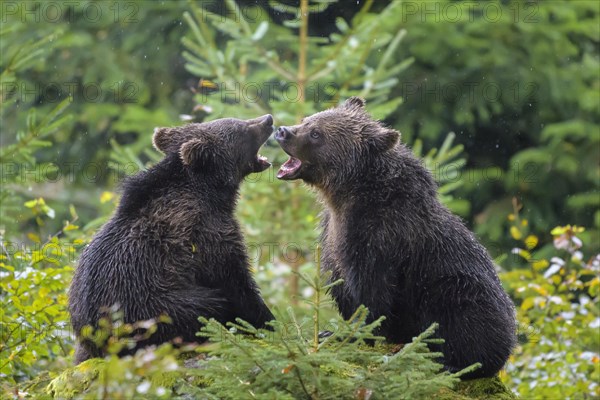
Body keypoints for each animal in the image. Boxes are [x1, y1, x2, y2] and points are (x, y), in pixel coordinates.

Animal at [69, 114, 274, 364]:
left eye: (237, 120)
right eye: (240, 129)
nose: (268, 120)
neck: (211, 193)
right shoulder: (206, 233)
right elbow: (235, 281)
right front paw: (268, 323)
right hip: (155, 308)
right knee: (210, 306)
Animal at [276, 97, 516, 378]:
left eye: (316, 133)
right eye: (307, 120)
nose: (283, 131)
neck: (346, 197)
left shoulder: (379, 238)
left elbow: (373, 293)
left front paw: (356, 334)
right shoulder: (331, 235)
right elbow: (340, 284)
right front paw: (330, 331)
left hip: (461, 289)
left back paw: (455, 363)